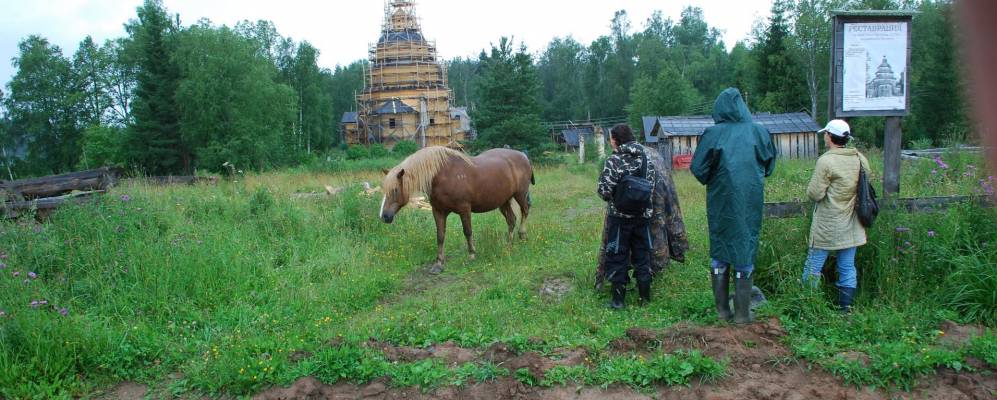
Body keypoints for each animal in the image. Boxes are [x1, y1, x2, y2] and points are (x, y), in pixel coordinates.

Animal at [382, 146, 536, 272]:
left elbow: (467, 231)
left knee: (525, 211)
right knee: (511, 220)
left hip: (520, 194)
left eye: (395, 190)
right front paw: (439, 263)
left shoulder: (464, 209)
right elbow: (440, 235)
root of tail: (523, 156)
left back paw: (522, 235)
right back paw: (508, 244)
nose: (385, 216)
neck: (442, 176)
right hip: (503, 201)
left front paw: (472, 254)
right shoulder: (438, 211)